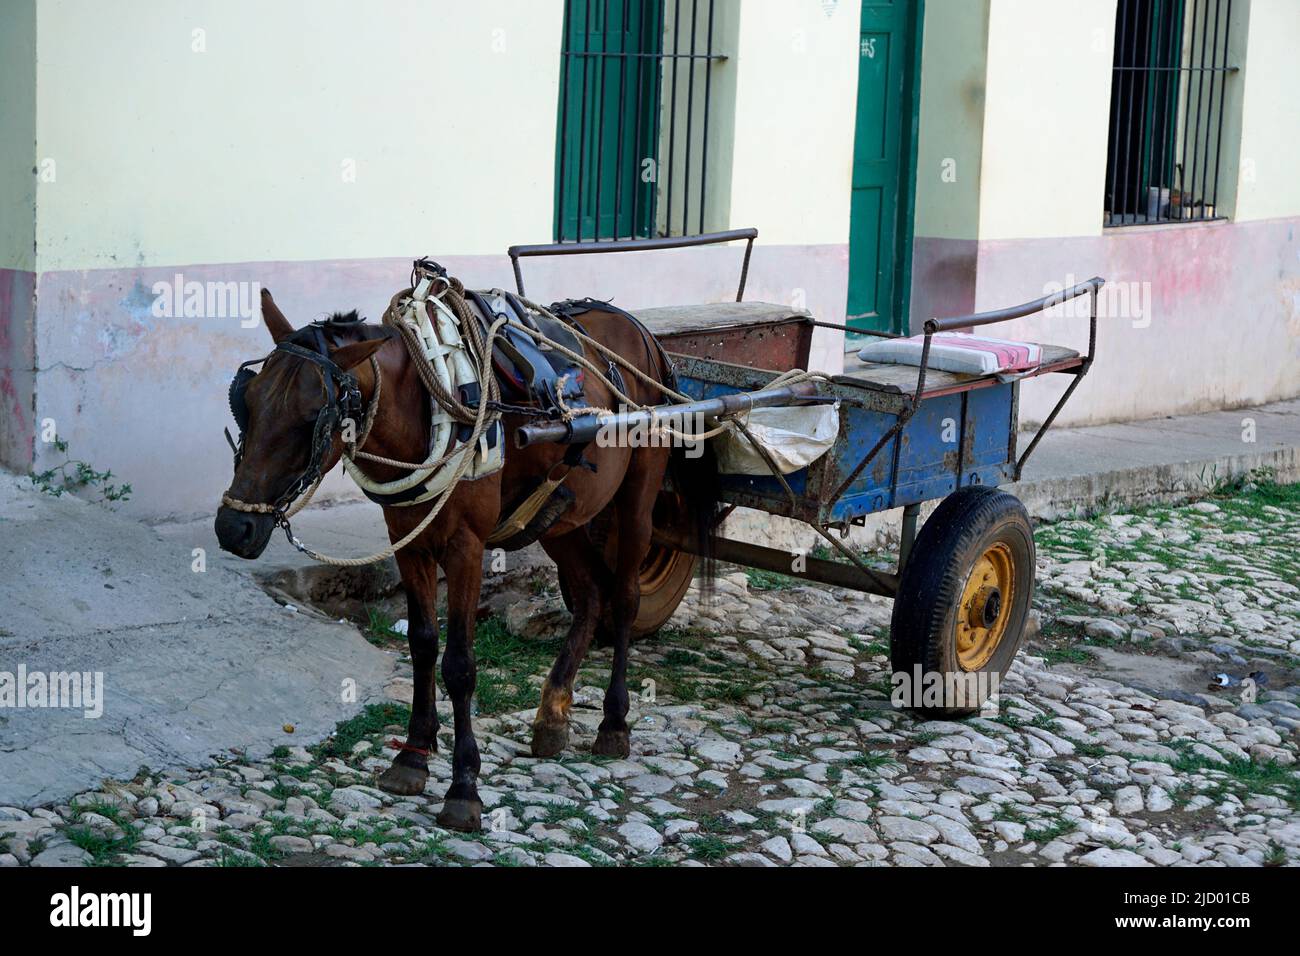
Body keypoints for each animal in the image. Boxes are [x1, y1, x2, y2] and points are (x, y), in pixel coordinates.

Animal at [217, 286, 717, 832]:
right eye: (247, 402)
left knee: (623, 597)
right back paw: (552, 715)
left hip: (637, 496)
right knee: (589, 594)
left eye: (313, 419)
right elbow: (421, 644)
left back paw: (613, 723)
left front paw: (463, 787)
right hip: (558, 515)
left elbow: (459, 664)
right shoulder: (407, 539)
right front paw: (412, 757)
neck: (427, 407)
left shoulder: (466, 546)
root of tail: (639, 329)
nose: (233, 528)